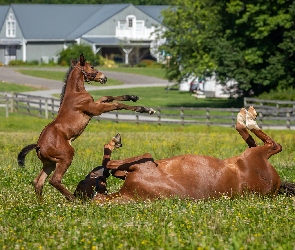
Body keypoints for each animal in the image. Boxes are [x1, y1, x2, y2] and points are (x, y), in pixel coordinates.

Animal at [17, 53, 157, 202]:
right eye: (92, 67)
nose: (104, 77)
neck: (76, 93)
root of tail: (38, 146)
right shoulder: (96, 109)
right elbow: (117, 104)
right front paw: (145, 109)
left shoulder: (96, 104)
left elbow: (107, 96)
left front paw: (133, 96)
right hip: (66, 157)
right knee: (54, 180)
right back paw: (74, 199)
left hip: (50, 163)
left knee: (38, 181)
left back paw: (41, 203)